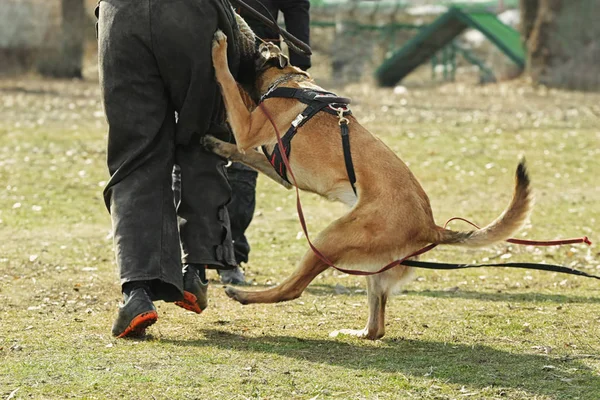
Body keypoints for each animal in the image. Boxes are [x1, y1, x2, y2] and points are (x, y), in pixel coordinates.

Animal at [204, 29, 532, 340]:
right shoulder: (277, 169)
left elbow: (228, 83)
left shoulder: (248, 128)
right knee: (378, 325)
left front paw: (218, 51)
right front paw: (218, 145)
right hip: (371, 265)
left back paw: (243, 295)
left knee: (293, 288)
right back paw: (358, 332)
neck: (287, 81)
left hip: (330, 238)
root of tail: (430, 226)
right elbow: (244, 152)